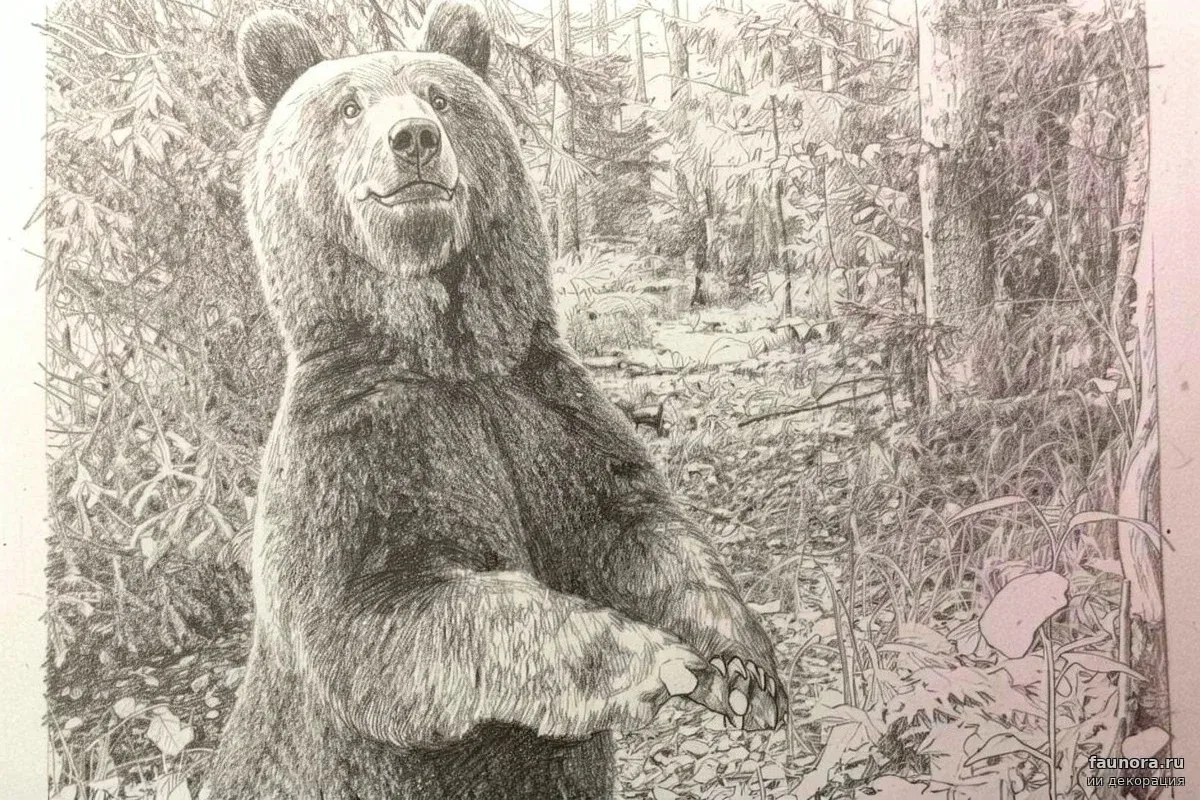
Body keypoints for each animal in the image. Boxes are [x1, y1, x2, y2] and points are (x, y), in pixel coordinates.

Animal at [205, 3, 785, 798]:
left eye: (441, 96)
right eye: (349, 106)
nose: (413, 138)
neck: (452, 359)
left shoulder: (546, 412)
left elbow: (639, 526)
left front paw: (742, 666)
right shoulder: (358, 455)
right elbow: (385, 616)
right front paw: (647, 658)